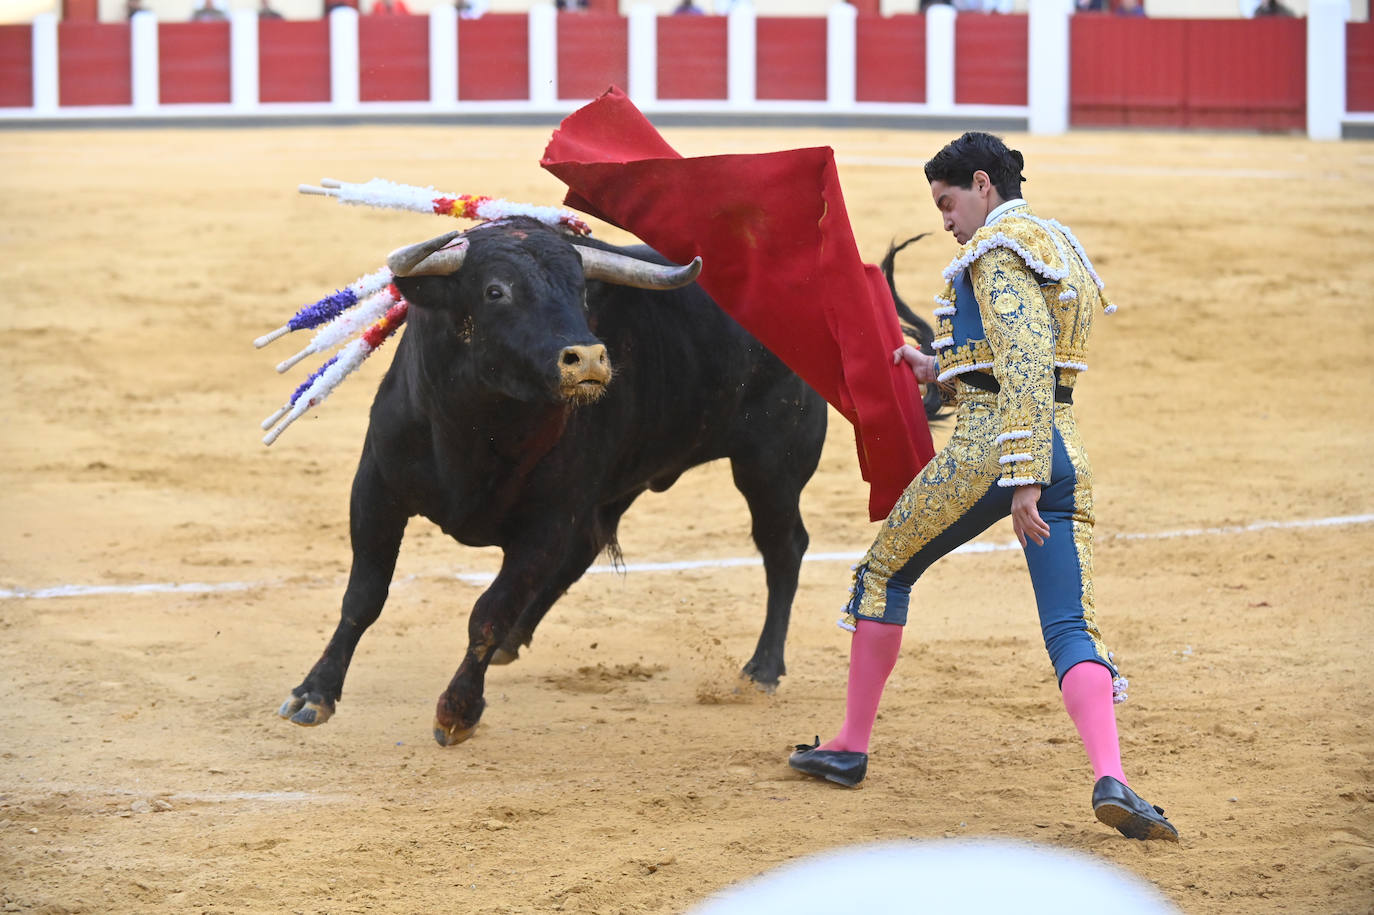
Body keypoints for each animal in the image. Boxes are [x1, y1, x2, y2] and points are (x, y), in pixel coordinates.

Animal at [278, 217, 939, 747]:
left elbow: (486, 612)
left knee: (783, 547)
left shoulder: (548, 517)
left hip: (770, 466)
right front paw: (313, 694)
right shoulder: (377, 490)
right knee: (588, 552)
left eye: (580, 291)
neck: (480, 427)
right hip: (629, 480)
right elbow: (363, 596)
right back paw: (522, 637)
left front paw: (457, 712)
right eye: (495, 291)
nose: (591, 360)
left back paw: (763, 669)